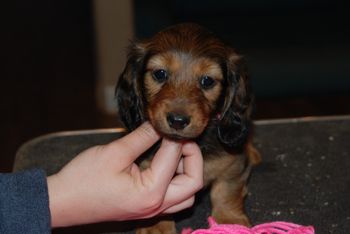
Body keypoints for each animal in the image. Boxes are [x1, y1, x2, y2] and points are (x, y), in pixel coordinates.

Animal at [115, 22, 260, 234]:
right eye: (160, 73)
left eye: (207, 80)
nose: (178, 120)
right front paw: (155, 226)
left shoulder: (233, 162)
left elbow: (226, 190)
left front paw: (229, 221)